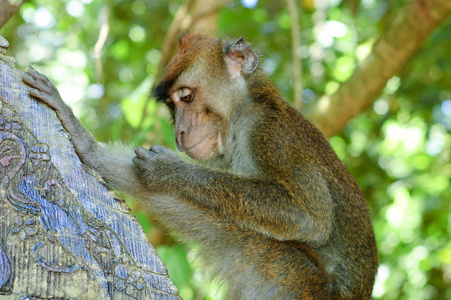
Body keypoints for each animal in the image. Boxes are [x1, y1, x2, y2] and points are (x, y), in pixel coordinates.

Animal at [23, 31, 378, 298]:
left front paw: (169, 172)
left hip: (293, 280)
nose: (179, 133)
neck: (242, 113)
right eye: (171, 105)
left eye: (187, 97)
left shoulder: (272, 137)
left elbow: (309, 218)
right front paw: (84, 140)